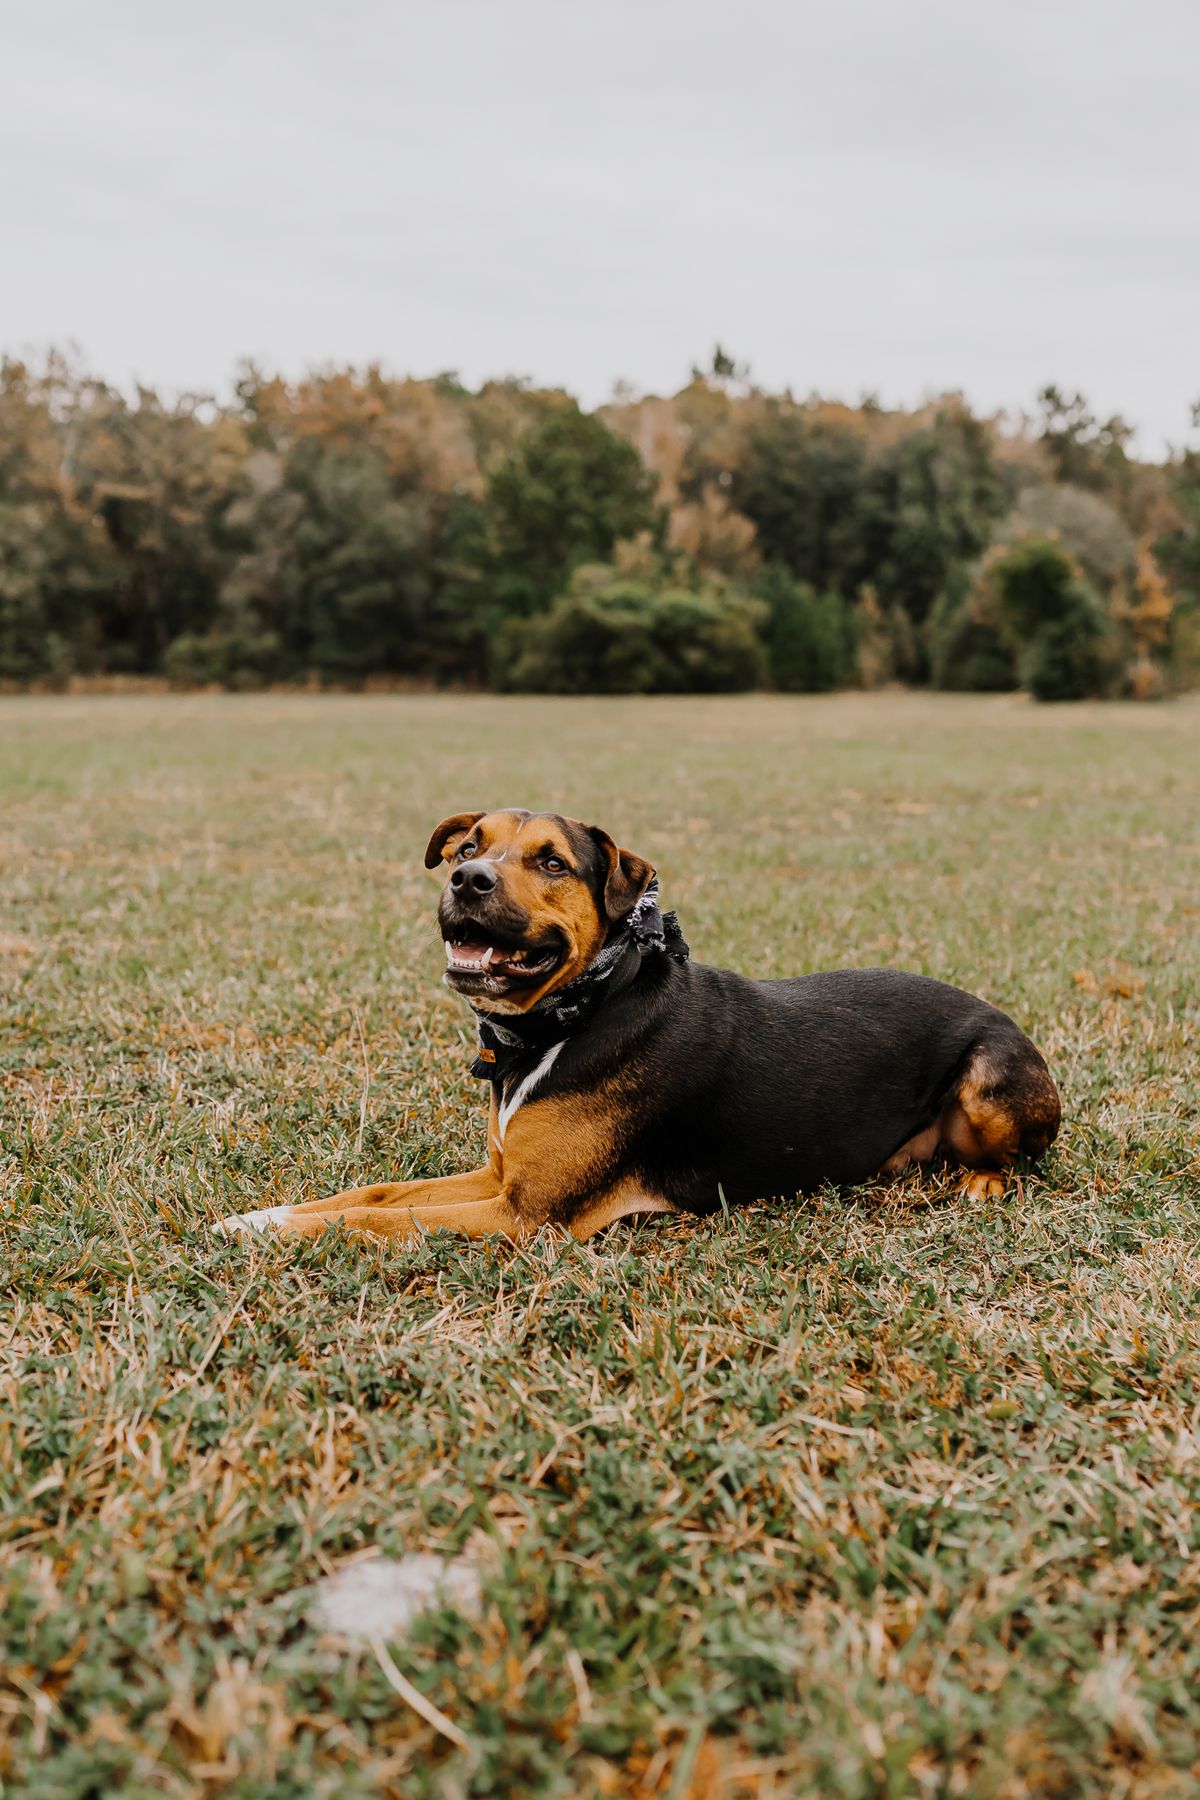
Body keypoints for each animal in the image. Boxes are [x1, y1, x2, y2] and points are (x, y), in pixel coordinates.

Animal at [215, 817, 1057, 1252]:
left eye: (552, 861)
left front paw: (267, 1232)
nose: (466, 879)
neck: (578, 1012)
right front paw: (262, 1216)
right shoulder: (501, 1177)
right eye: (468, 846)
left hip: (990, 1078)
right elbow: (376, 1192)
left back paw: (981, 1179)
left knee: (1022, 1159)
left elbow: (374, 1217)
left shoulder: (527, 1215)